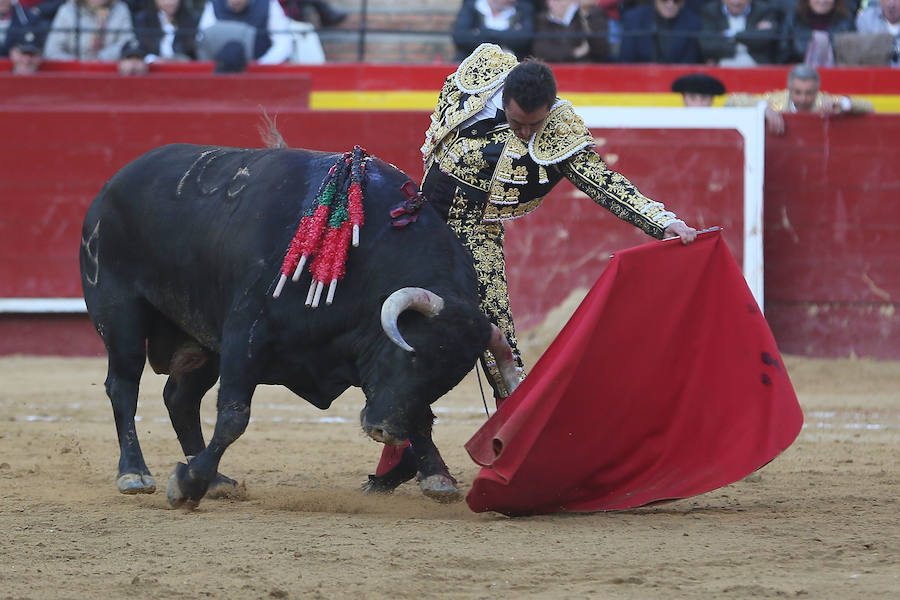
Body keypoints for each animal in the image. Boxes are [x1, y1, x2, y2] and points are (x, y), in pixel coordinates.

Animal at [82, 144, 520, 506]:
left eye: (447, 380)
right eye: (411, 356)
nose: (386, 431)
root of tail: (111, 186)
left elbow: (422, 414)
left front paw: (433, 476)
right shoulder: (245, 335)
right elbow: (234, 416)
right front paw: (186, 487)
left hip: (201, 344)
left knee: (180, 398)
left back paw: (216, 480)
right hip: (120, 314)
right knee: (123, 386)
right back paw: (135, 474)